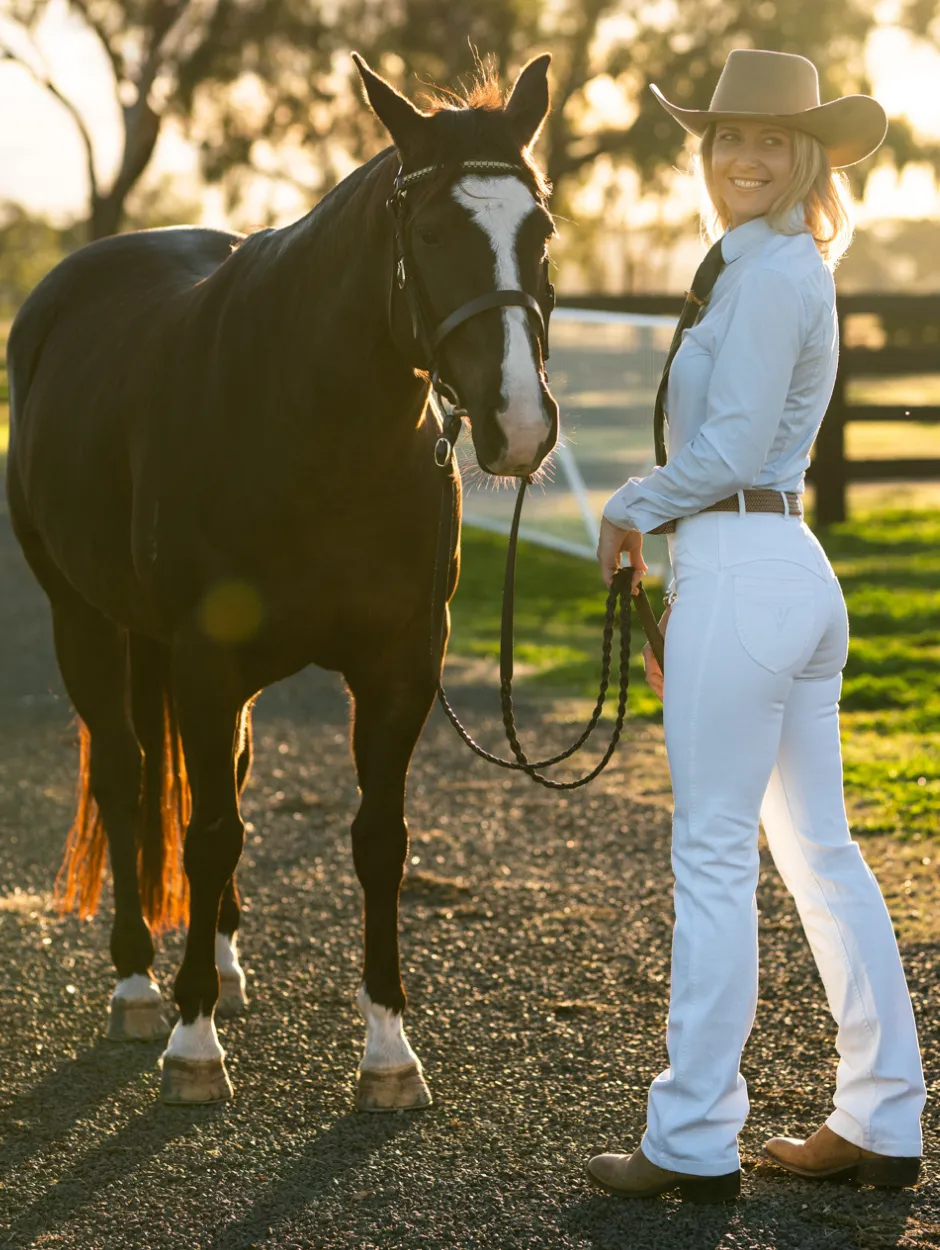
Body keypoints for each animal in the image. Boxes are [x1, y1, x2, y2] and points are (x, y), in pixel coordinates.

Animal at [5, 53, 557, 1110]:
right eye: (431, 232)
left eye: (539, 232)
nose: (520, 424)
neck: (310, 426)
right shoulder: (206, 661)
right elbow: (208, 830)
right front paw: (192, 1046)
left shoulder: (399, 665)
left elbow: (376, 840)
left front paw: (388, 1051)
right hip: (82, 621)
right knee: (130, 777)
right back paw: (141, 985)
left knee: (218, 780)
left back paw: (218, 966)